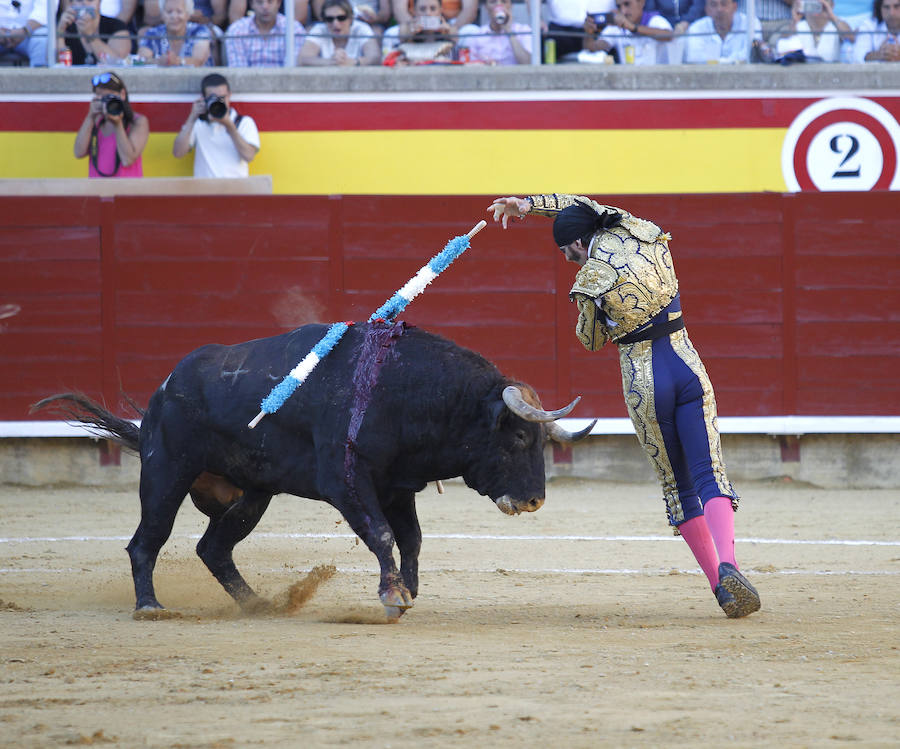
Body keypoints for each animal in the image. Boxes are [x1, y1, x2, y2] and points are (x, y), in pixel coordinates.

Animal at [37, 322, 596, 620]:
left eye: (543, 442)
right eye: (519, 437)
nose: (534, 500)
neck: (407, 390)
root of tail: (164, 389)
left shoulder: (397, 487)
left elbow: (410, 538)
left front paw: (408, 592)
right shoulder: (346, 483)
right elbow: (382, 535)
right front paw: (392, 595)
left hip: (252, 494)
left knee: (213, 548)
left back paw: (262, 604)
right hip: (166, 472)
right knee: (146, 541)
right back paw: (150, 605)